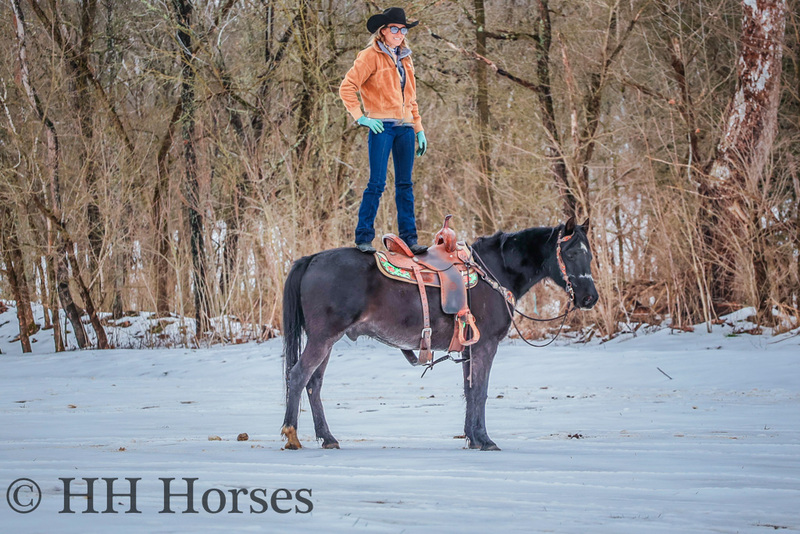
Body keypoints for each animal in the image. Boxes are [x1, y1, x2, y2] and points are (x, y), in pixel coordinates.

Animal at [282, 218, 600, 452]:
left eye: (589, 254)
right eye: (572, 253)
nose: (590, 297)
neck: (495, 272)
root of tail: (312, 259)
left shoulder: (470, 349)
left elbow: (470, 391)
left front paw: (472, 438)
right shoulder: (485, 346)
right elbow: (481, 391)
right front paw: (485, 440)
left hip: (326, 341)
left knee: (314, 384)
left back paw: (327, 438)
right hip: (323, 339)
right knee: (298, 376)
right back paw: (291, 434)